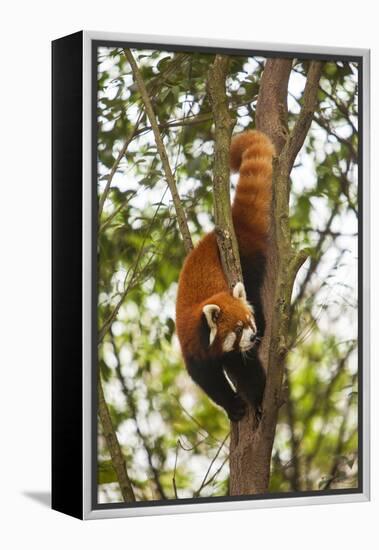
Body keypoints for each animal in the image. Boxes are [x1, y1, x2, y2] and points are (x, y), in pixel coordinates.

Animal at [177, 130, 274, 422]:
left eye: (248, 321)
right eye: (238, 329)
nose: (252, 336)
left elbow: (247, 369)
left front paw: (258, 400)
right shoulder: (194, 350)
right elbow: (208, 382)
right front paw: (233, 406)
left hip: (249, 262)